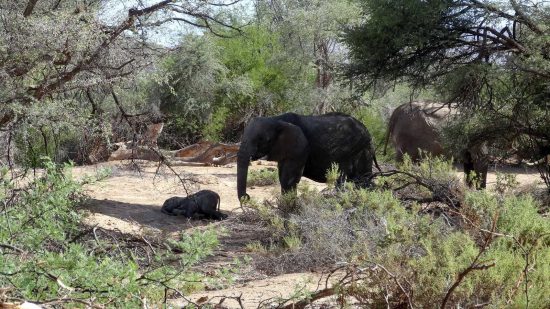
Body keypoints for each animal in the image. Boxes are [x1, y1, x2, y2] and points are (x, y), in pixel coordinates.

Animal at [237, 112, 380, 199]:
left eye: (263, 140)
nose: (247, 197)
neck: (276, 119)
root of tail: (368, 133)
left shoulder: (300, 147)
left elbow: (289, 180)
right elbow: (283, 178)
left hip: (361, 150)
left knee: (361, 181)